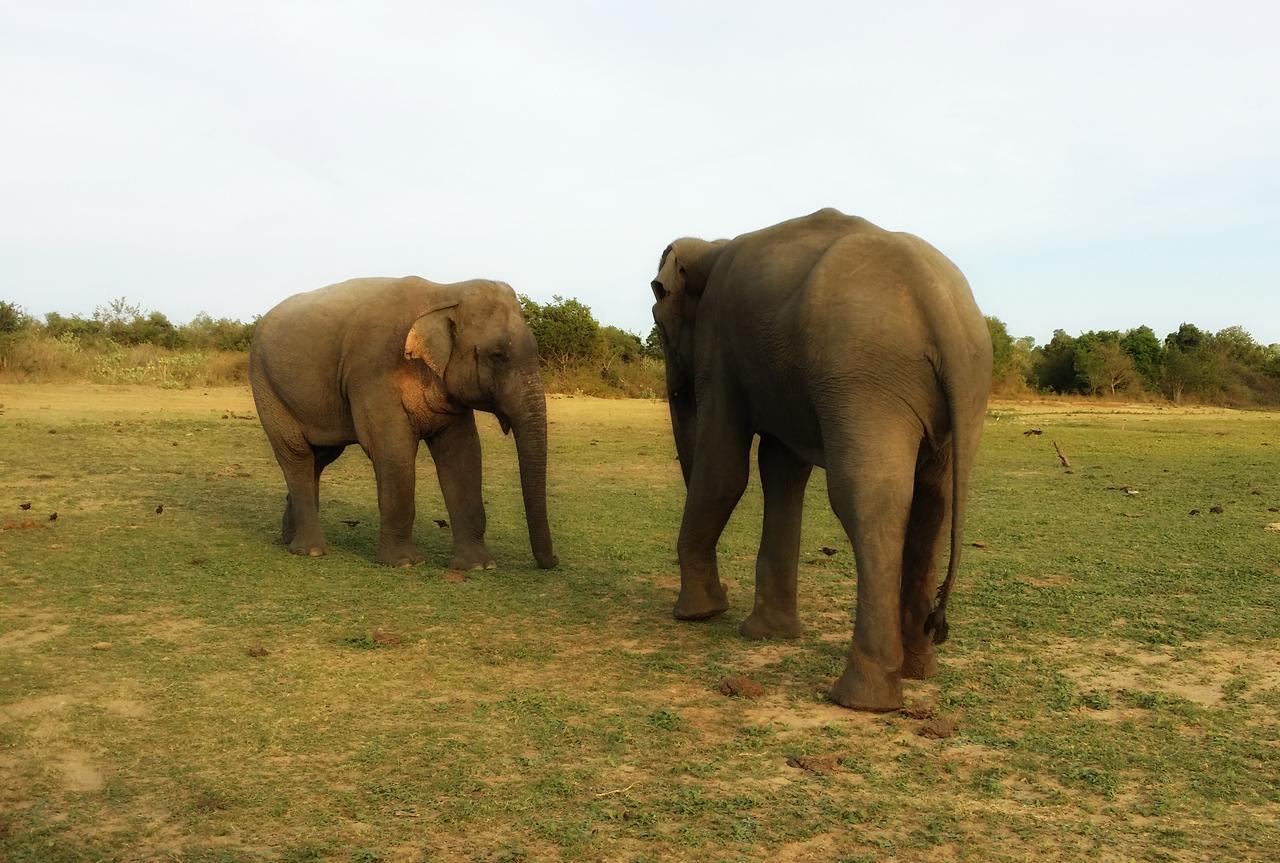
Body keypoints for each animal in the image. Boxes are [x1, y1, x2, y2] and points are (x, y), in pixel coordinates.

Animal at [247, 275, 558, 568]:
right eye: (497, 356)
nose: (553, 562)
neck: (445, 292)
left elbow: (463, 453)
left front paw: (479, 565)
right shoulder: (373, 374)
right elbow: (392, 449)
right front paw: (405, 562)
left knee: (320, 457)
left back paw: (289, 539)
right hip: (267, 387)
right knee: (297, 455)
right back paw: (310, 550)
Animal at [650, 206, 988, 706]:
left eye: (658, 317)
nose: (722, 595)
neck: (714, 244)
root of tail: (941, 305)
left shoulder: (719, 341)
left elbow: (725, 468)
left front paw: (697, 615)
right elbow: (781, 467)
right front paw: (765, 634)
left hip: (865, 379)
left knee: (867, 502)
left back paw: (860, 697)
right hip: (960, 390)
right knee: (934, 503)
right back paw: (917, 672)